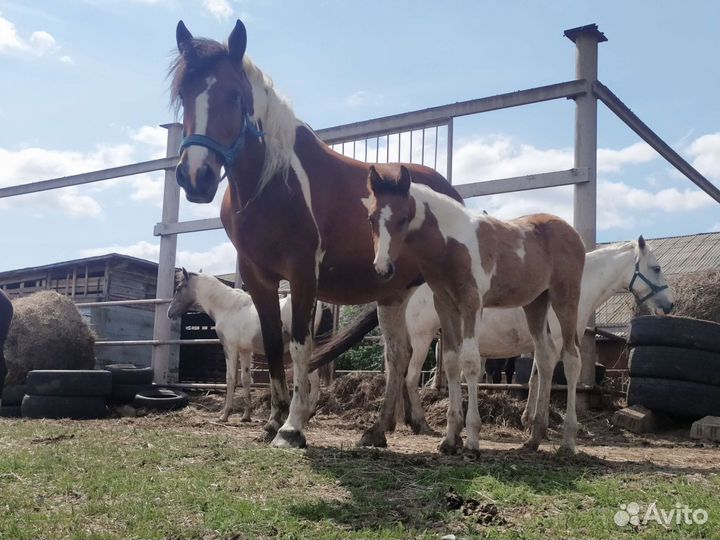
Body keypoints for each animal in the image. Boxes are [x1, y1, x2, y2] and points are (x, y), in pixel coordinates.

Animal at [167, 269, 326, 423]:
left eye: (179, 288)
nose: (170, 313)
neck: (228, 307)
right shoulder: (245, 351)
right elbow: (245, 379)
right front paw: (246, 416)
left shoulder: (230, 348)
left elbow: (231, 379)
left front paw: (225, 415)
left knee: (313, 380)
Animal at [367, 165, 586, 454]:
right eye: (371, 218)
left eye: (403, 218)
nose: (383, 269)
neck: (450, 243)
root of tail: (573, 233)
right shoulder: (445, 304)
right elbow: (451, 363)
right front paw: (449, 438)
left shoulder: (472, 303)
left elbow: (470, 363)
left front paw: (471, 439)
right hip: (536, 303)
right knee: (545, 356)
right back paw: (534, 438)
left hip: (565, 298)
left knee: (572, 358)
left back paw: (568, 442)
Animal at [401, 237, 674, 434]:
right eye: (656, 268)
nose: (669, 306)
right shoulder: (557, 343)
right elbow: (547, 378)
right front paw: (540, 423)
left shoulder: (540, 343)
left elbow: (534, 379)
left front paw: (528, 419)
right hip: (423, 337)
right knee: (412, 377)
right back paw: (421, 424)